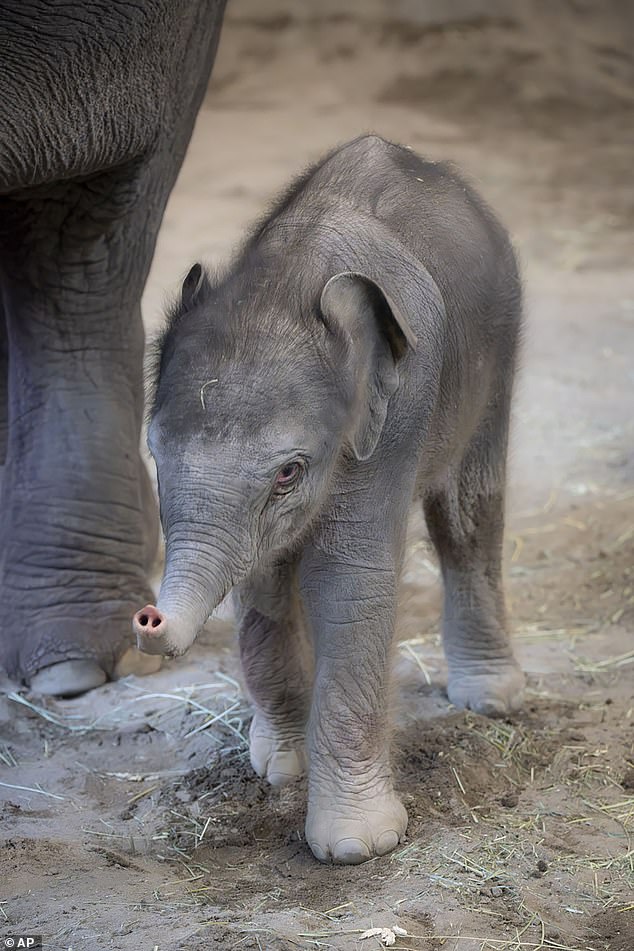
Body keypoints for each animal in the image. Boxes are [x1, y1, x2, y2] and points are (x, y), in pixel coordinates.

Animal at [137, 136, 524, 872]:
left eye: (290, 472)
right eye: (154, 455)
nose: (146, 618)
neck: (289, 278)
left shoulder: (392, 419)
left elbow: (349, 581)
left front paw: (357, 845)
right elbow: (262, 576)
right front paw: (280, 770)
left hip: (498, 354)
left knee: (466, 512)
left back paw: (491, 700)